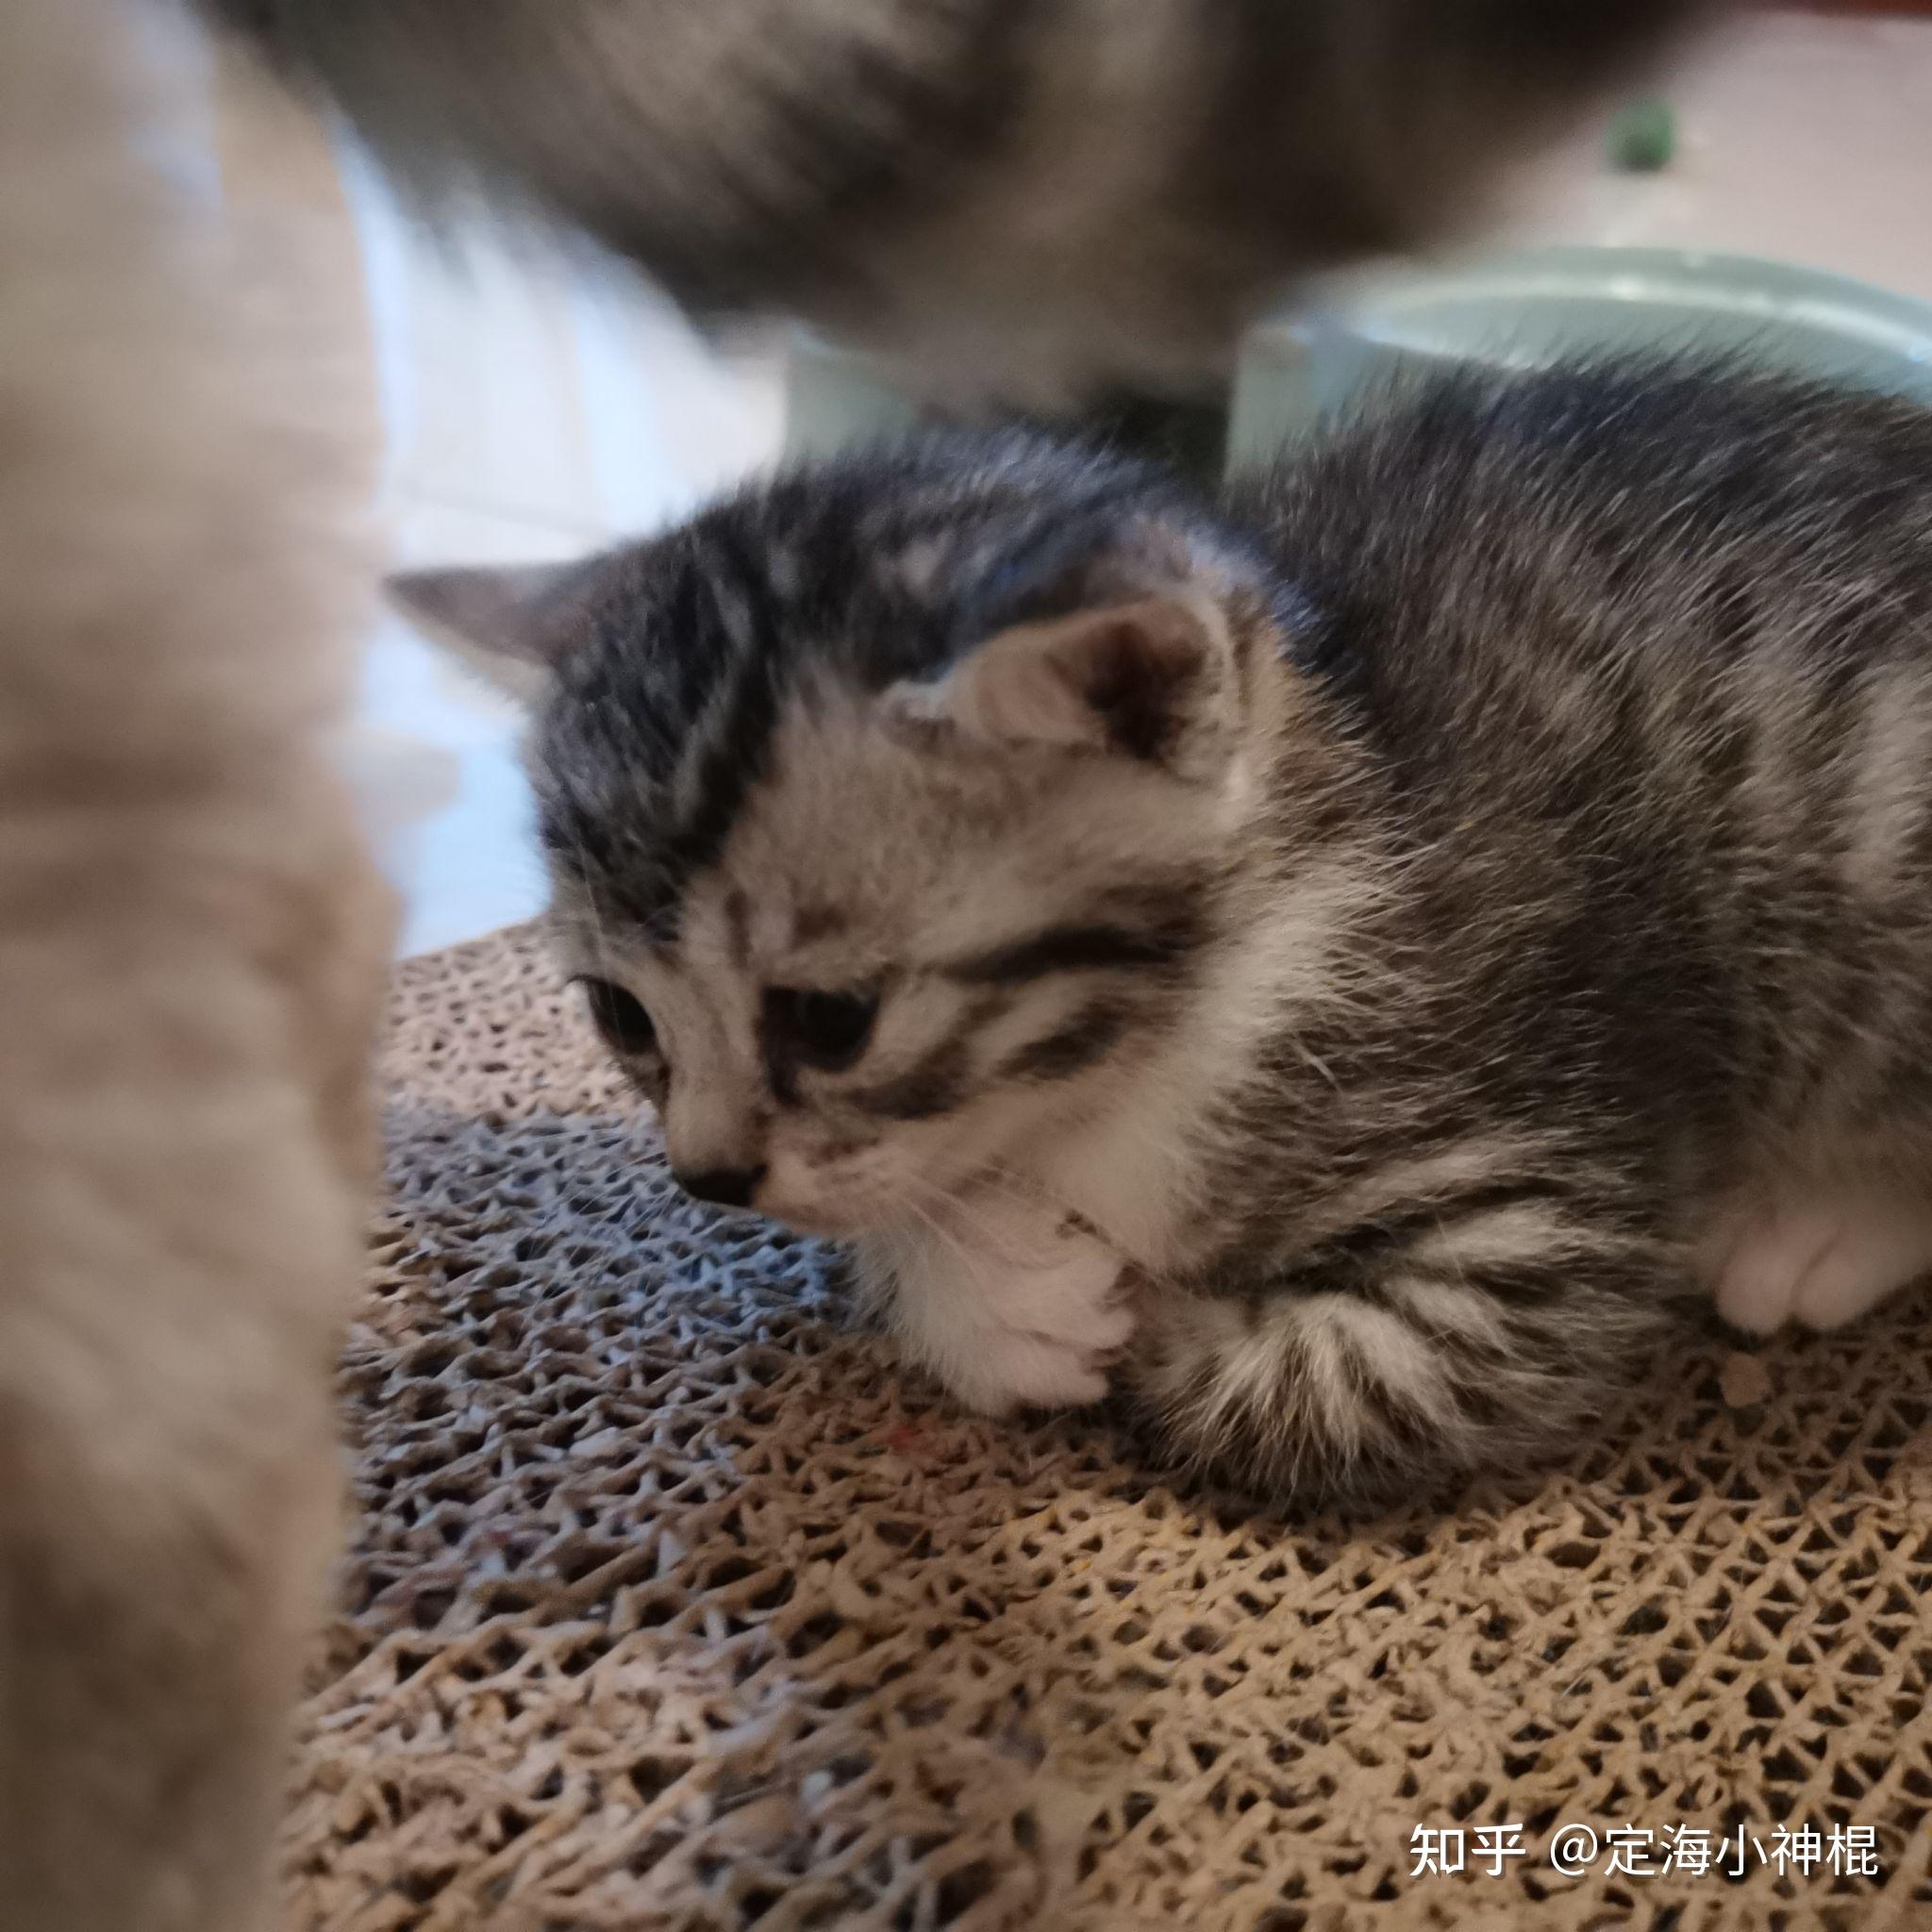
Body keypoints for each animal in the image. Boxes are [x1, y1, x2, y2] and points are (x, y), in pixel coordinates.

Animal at [391, 363, 1932, 1507]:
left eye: (830, 1020)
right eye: (620, 1016)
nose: (705, 1176)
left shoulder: (1539, 1174)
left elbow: (1339, 1384)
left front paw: (1147, 1318)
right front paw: (980, 1289)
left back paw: (1814, 1224)